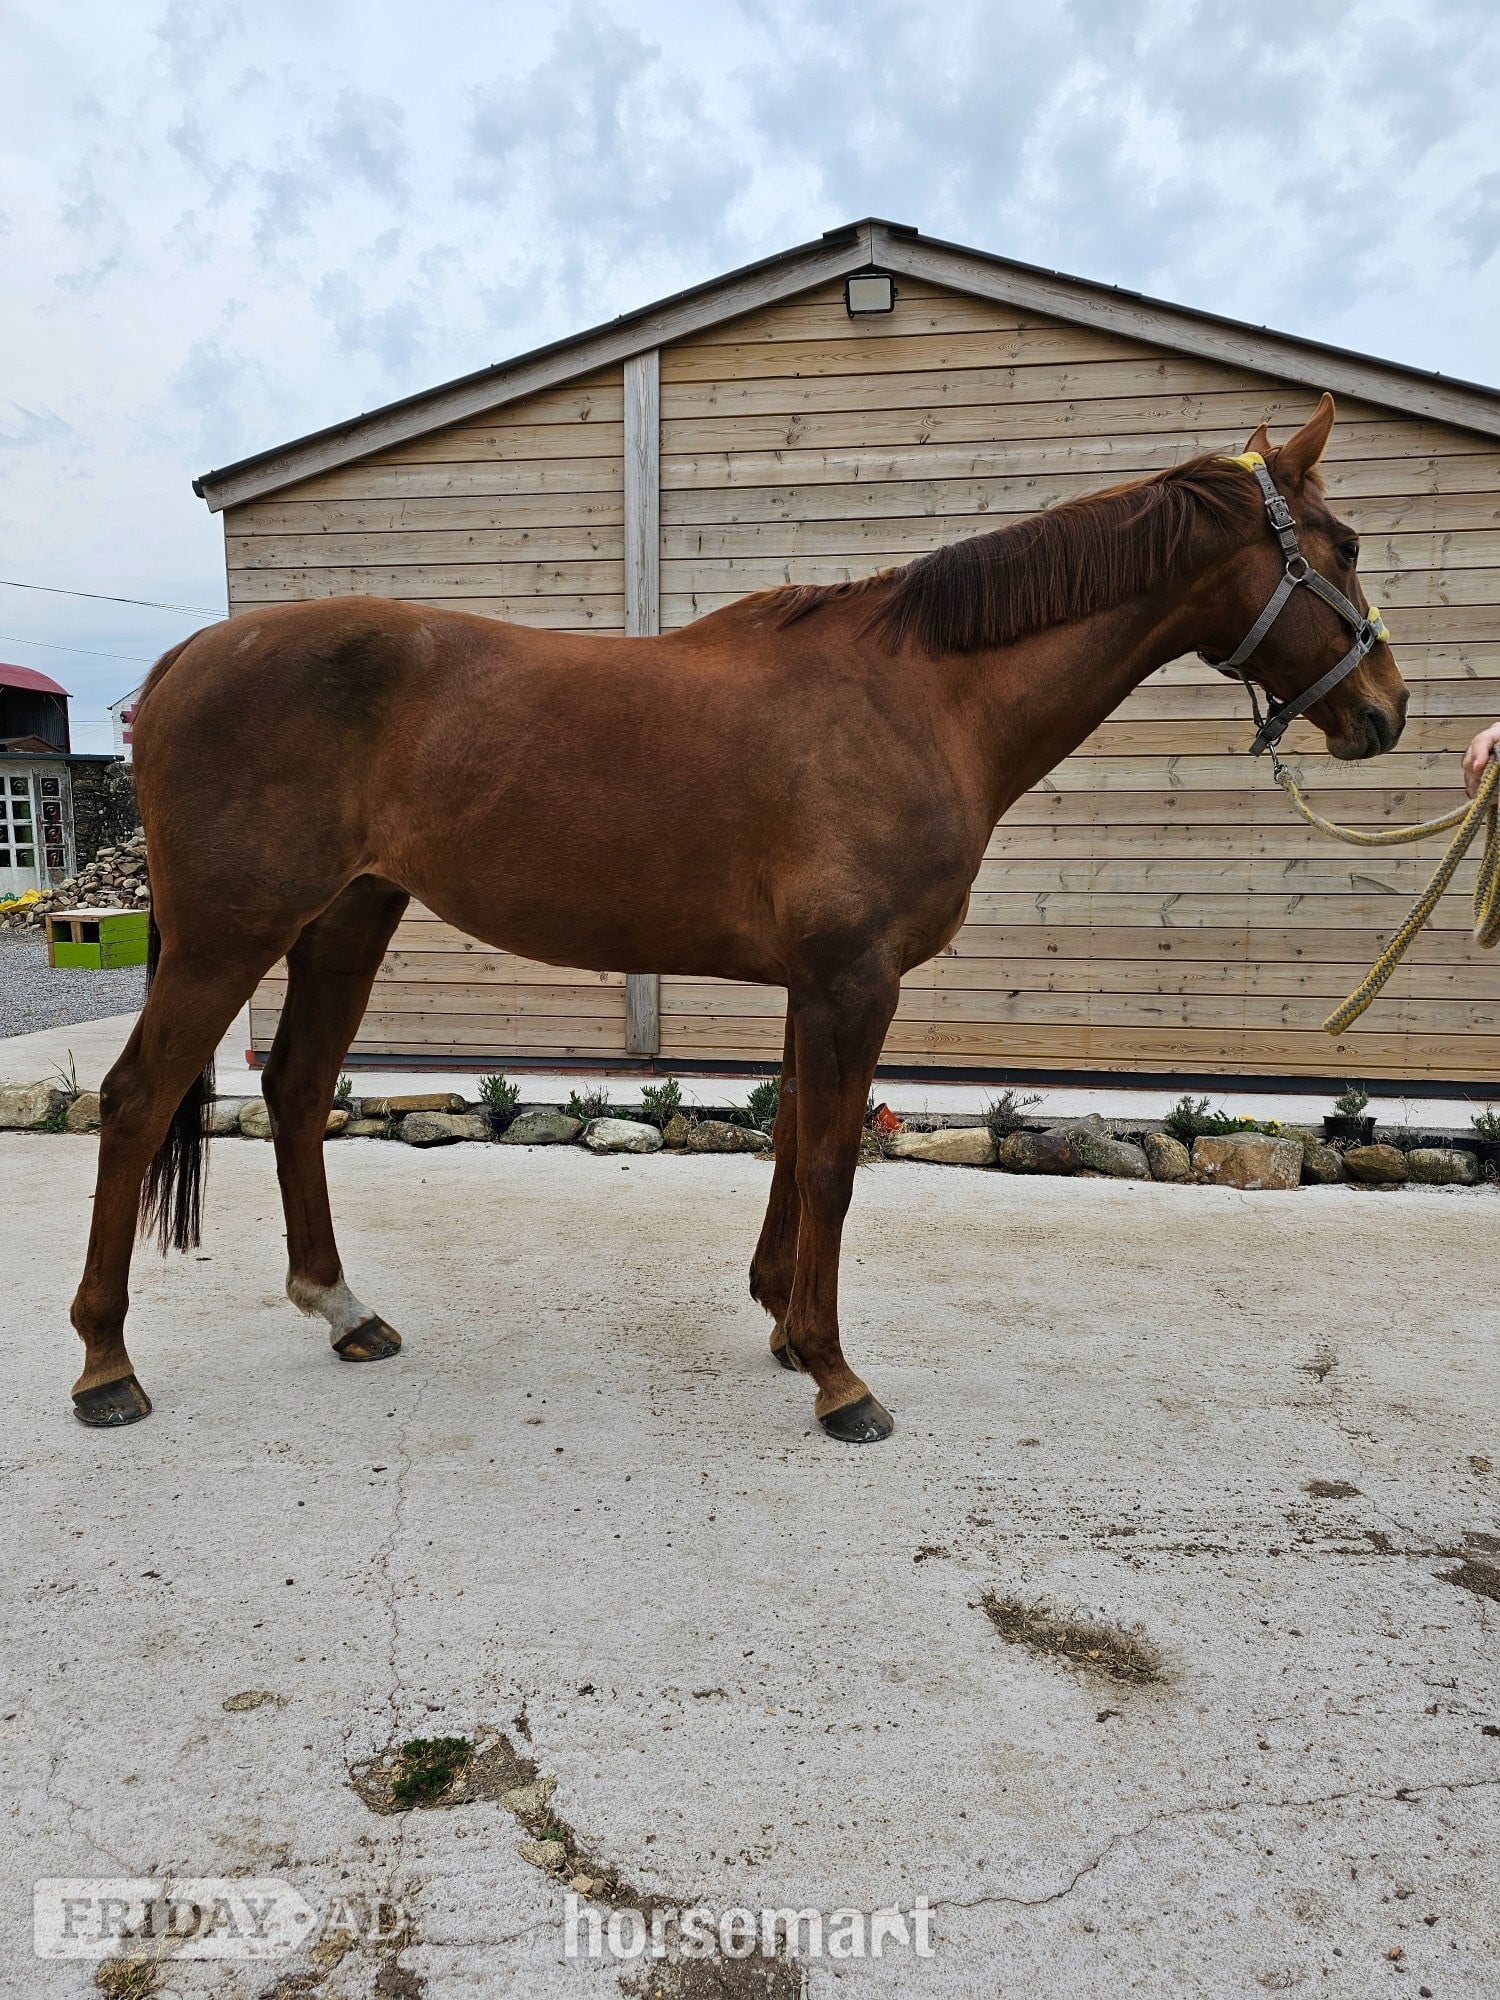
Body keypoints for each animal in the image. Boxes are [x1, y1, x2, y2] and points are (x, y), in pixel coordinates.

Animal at [68, 392, 1407, 1439]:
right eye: (1340, 545)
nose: (1386, 711)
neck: (922, 698)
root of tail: (182, 662)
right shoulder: (856, 978)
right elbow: (830, 1161)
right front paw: (838, 1376)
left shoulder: (819, 982)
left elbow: (791, 1139)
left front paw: (782, 1321)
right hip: (228, 935)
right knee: (135, 1100)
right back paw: (106, 1364)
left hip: (347, 918)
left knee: (296, 1088)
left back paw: (345, 1311)